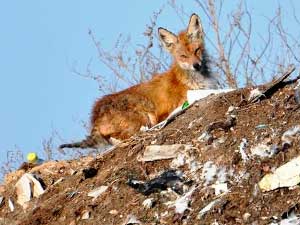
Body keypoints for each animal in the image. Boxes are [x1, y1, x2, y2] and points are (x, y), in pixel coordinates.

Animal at [59, 13, 218, 149]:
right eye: (183, 56)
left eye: (197, 50)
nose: (196, 65)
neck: (195, 80)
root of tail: (95, 115)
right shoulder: (171, 107)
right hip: (145, 115)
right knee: (126, 137)